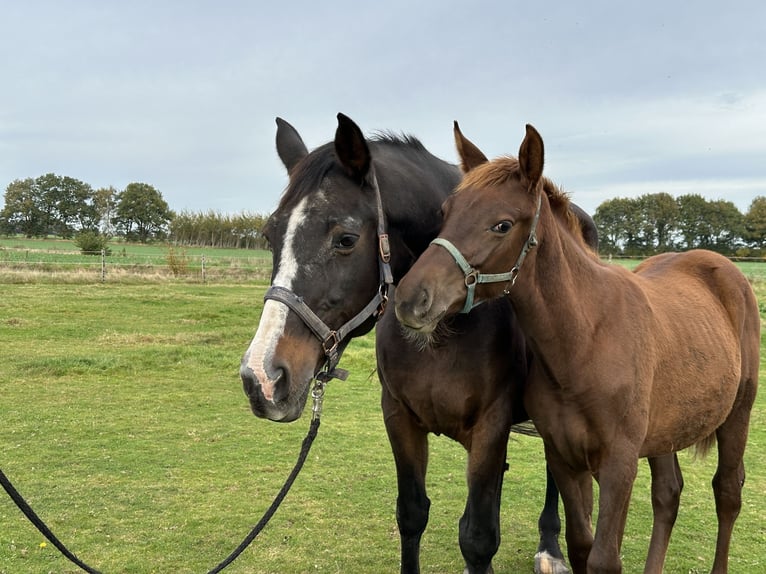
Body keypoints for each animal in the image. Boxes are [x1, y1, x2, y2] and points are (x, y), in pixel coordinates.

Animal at [240, 116, 600, 574]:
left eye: (345, 239)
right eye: (270, 236)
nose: (262, 377)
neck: (442, 334)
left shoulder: (491, 426)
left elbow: (478, 538)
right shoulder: (400, 418)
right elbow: (412, 515)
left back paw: (550, 549)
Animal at [396, 124, 760, 572]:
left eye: (502, 225)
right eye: (445, 212)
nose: (411, 299)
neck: (586, 341)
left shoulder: (619, 465)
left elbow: (604, 558)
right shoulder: (564, 458)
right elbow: (581, 544)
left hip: (738, 413)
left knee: (727, 493)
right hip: (668, 428)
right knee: (668, 494)